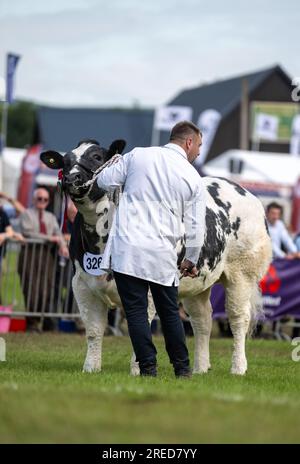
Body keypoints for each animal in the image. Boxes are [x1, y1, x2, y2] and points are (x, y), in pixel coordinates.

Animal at [40, 140, 272, 376]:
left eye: (96, 157)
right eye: (65, 161)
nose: (71, 179)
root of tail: (243, 190)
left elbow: (139, 325)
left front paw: (138, 370)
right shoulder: (82, 283)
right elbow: (94, 329)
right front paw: (90, 368)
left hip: (242, 272)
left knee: (238, 317)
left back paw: (238, 367)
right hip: (198, 281)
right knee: (202, 320)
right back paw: (200, 368)